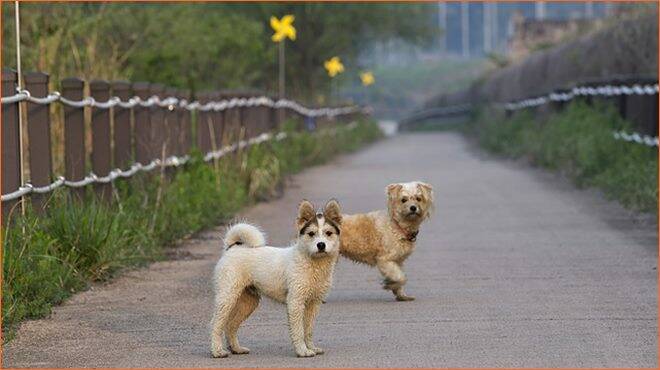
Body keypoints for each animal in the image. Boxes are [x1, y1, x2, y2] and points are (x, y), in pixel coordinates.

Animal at [210, 199, 346, 358]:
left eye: (328, 233)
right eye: (311, 233)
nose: (321, 245)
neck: (312, 262)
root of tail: (232, 248)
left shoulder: (314, 303)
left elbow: (308, 330)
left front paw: (311, 347)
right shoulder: (295, 302)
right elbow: (298, 331)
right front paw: (302, 351)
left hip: (248, 302)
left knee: (231, 325)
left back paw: (237, 349)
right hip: (227, 297)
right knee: (216, 324)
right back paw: (217, 351)